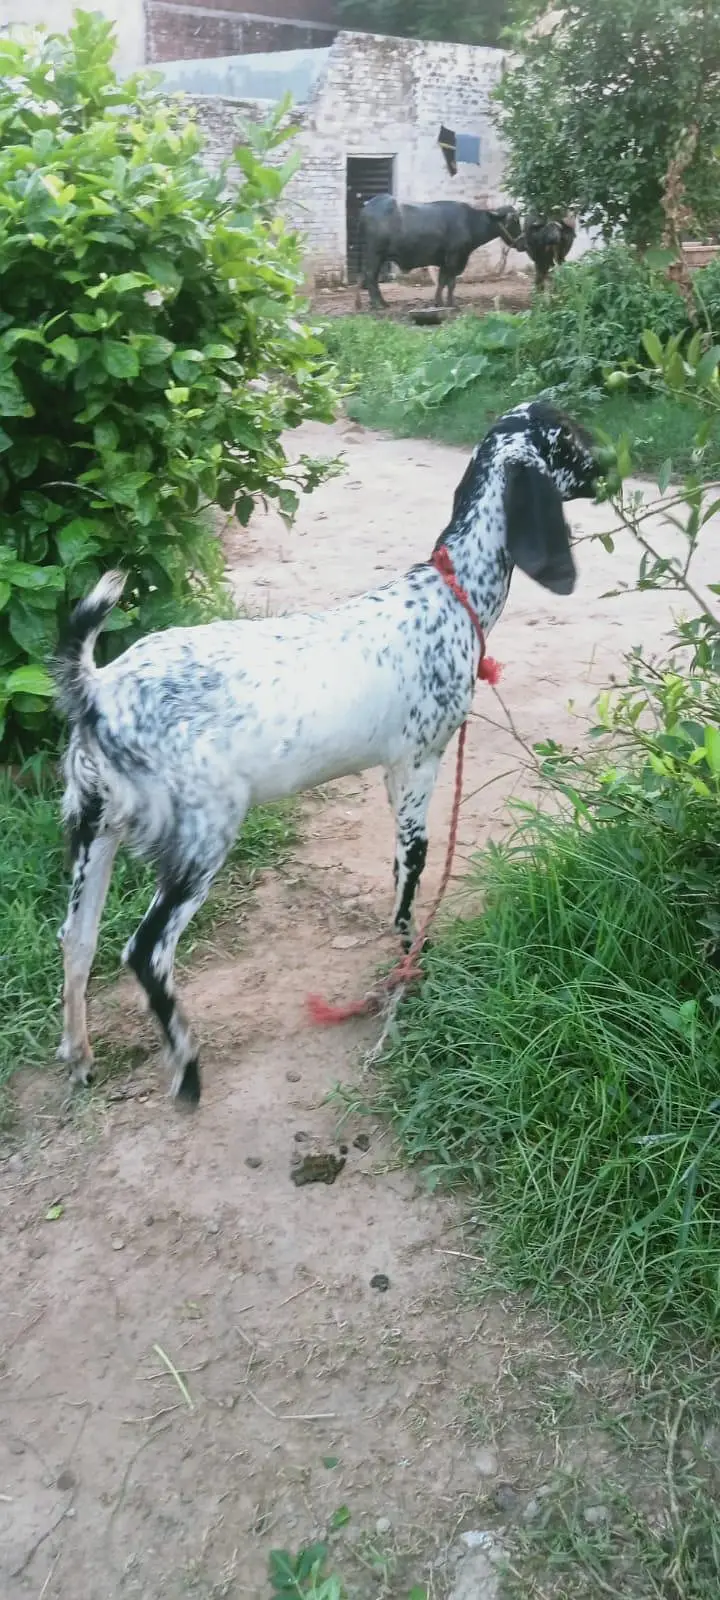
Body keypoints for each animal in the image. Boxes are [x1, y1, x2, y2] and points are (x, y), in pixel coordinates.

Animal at [54, 402, 602, 1108]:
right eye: (568, 439)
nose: (608, 468)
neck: (449, 596)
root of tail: (98, 689)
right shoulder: (419, 761)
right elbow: (412, 867)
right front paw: (410, 967)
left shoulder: (392, 773)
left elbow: (398, 869)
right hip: (203, 832)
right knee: (145, 951)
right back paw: (186, 1070)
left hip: (92, 822)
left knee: (77, 937)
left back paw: (80, 1057)